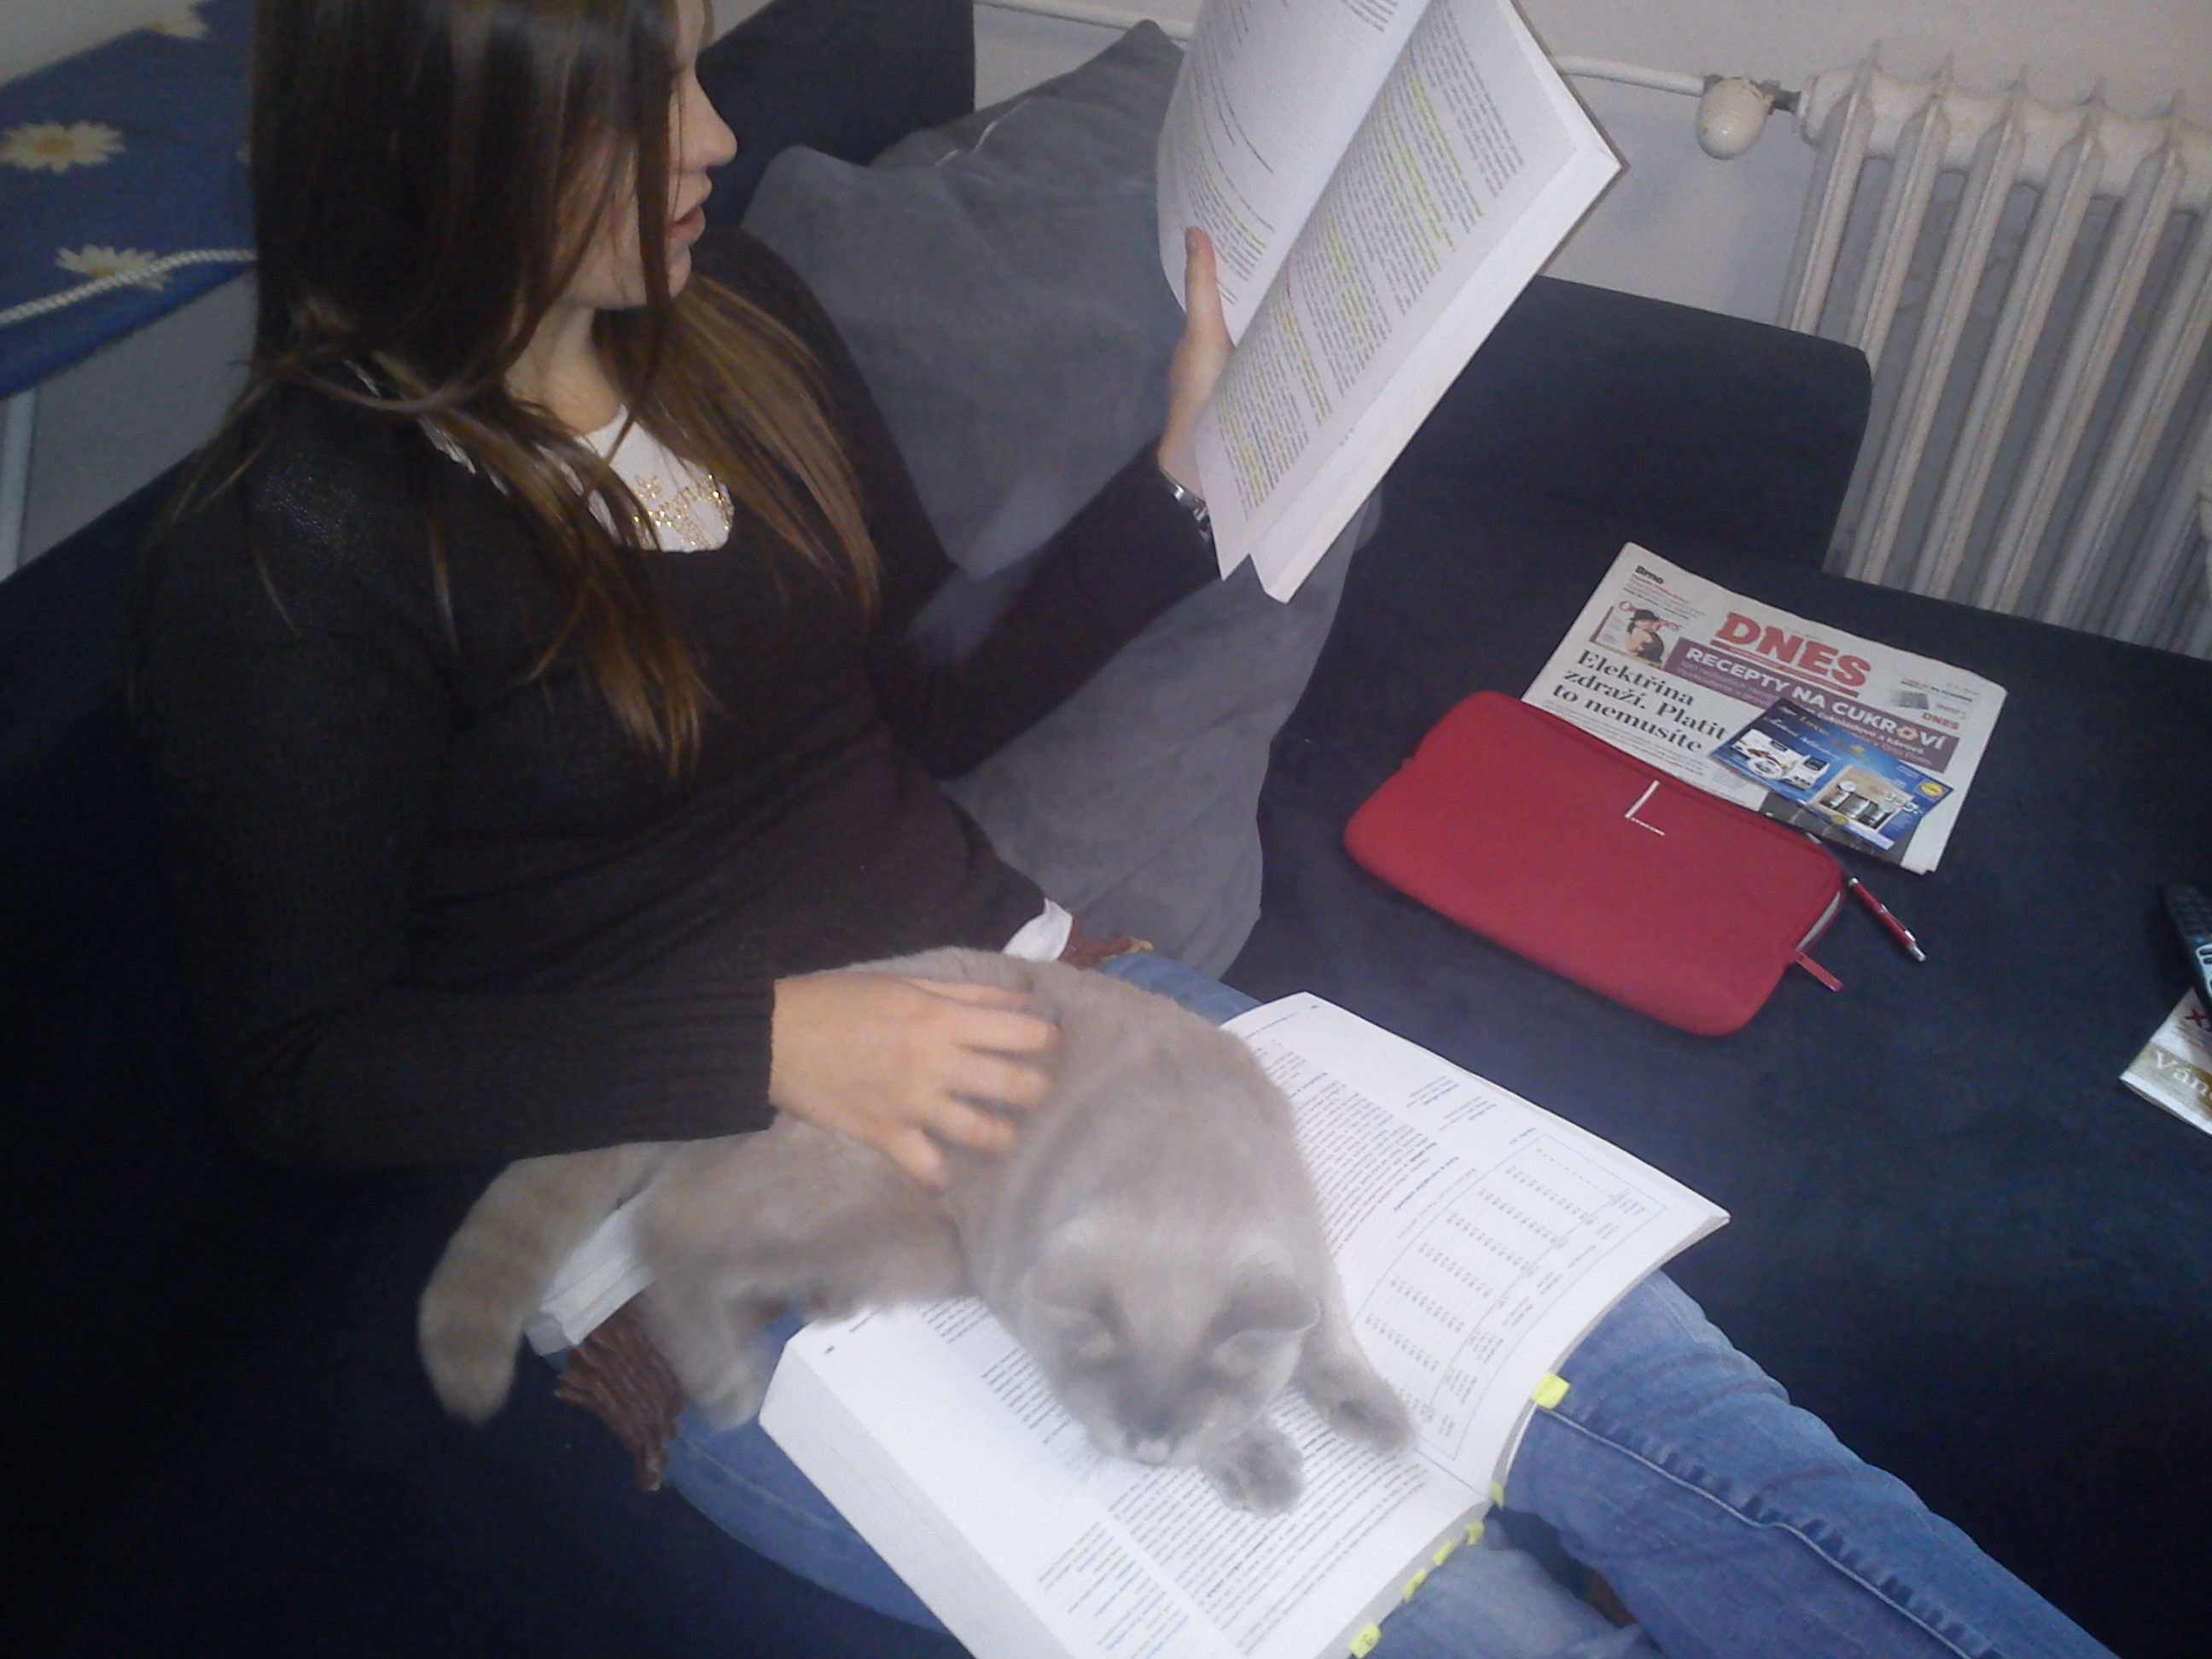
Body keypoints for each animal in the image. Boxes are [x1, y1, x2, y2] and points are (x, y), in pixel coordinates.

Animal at [418, 947, 1413, 1513]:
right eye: (1118, 1402)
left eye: (1191, 1405)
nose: (1148, 1447)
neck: (1182, 1160)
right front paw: (1257, 1460)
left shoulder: (1304, 1243)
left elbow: (1328, 1330)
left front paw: (1374, 1414)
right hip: (849, 1192)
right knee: (673, 1232)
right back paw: (729, 1379)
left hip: (899, 1241)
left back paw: (817, 1303)